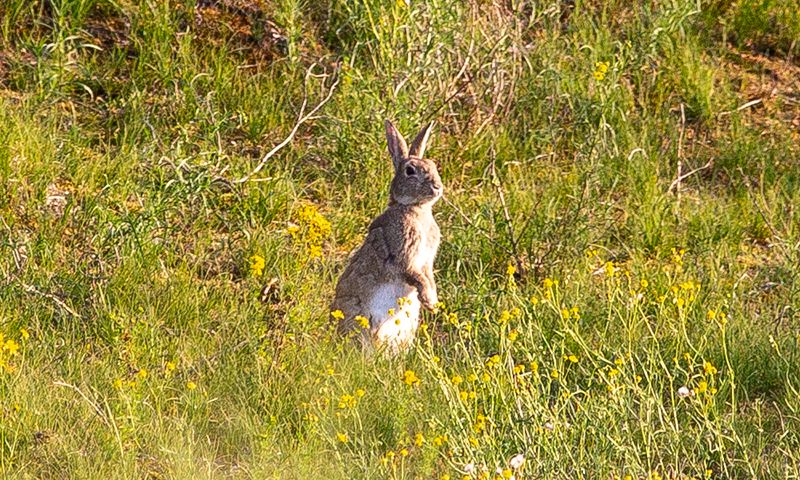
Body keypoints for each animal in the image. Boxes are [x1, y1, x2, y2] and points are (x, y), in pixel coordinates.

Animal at [332, 120, 444, 352]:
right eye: (410, 171)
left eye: (432, 165)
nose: (438, 187)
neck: (414, 208)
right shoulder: (404, 255)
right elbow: (415, 275)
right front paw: (429, 302)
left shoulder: (426, 261)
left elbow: (428, 276)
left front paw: (434, 303)